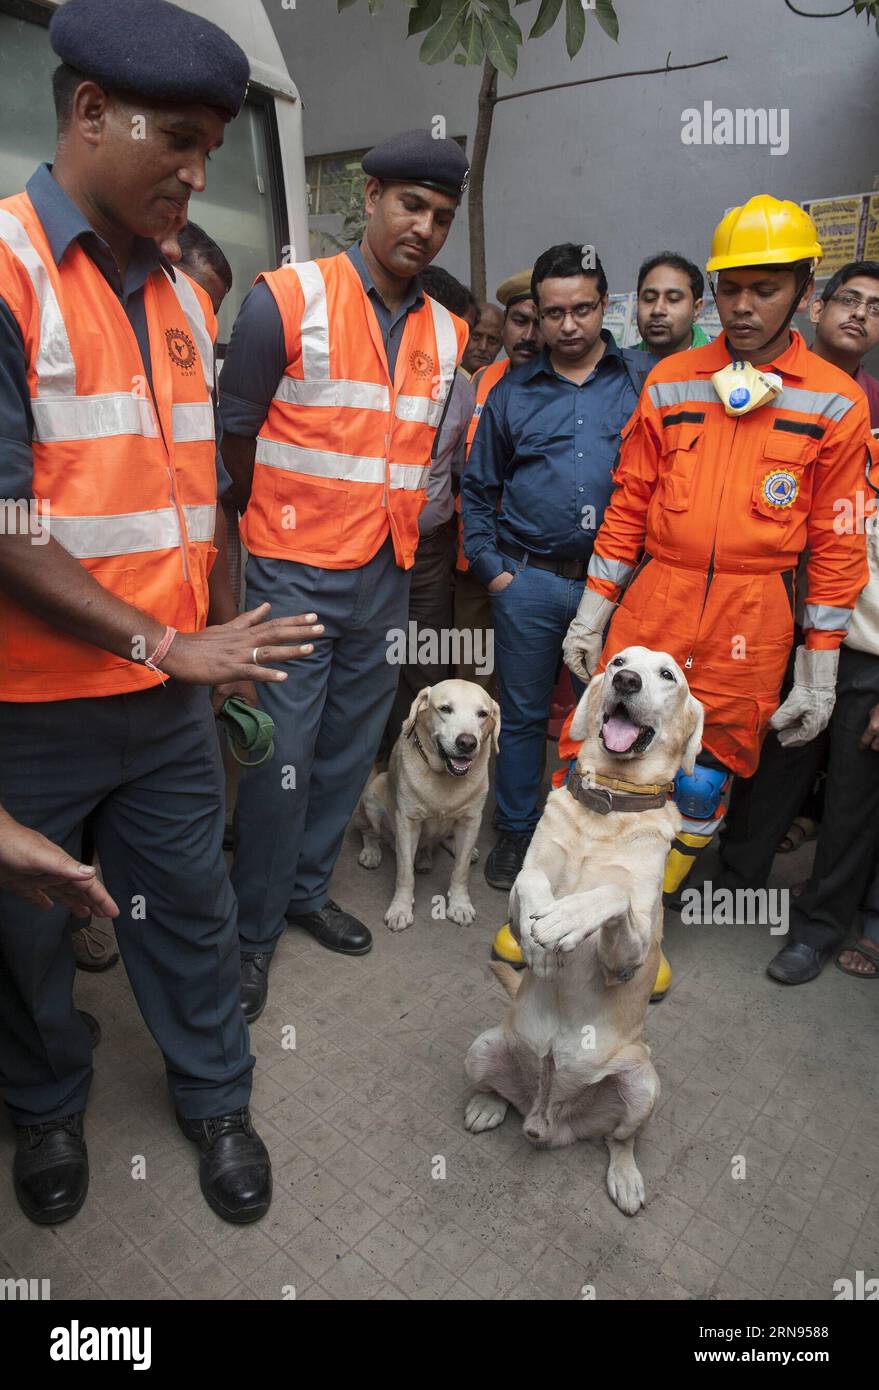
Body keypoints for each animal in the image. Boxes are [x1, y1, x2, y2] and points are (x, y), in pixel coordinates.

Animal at [351, 675, 497, 928]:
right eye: (445, 709)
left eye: (482, 714)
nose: (467, 743)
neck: (445, 778)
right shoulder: (407, 822)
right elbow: (404, 874)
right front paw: (400, 908)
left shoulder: (471, 820)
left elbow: (460, 871)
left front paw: (460, 904)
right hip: (373, 795)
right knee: (370, 832)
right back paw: (372, 851)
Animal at [464, 644, 703, 1212]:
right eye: (618, 661)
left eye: (668, 675)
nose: (627, 680)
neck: (608, 806)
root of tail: (547, 1120)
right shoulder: (522, 888)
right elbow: (529, 880)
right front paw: (539, 945)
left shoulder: (627, 956)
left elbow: (611, 894)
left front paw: (566, 919)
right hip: (482, 1048)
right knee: (497, 1090)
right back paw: (488, 1105)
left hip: (642, 1083)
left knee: (620, 1139)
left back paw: (626, 1177)